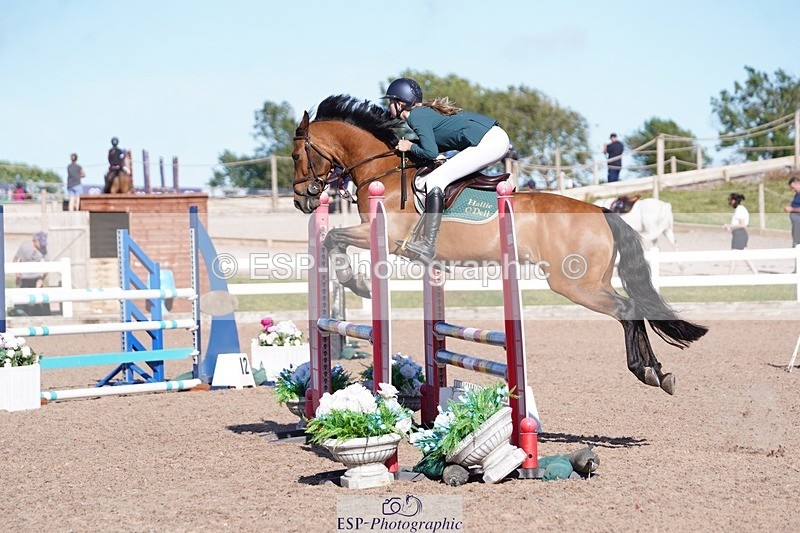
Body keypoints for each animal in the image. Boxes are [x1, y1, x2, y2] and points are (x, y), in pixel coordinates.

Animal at [292, 95, 707, 395]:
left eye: (297, 155)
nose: (302, 201)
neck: (383, 171)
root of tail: (603, 210)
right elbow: (332, 240)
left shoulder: (384, 235)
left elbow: (331, 238)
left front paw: (358, 282)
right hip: (593, 280)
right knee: (635, 308)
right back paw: (659, 373)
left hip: (574, 284)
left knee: (627, 310)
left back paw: (645, 372)